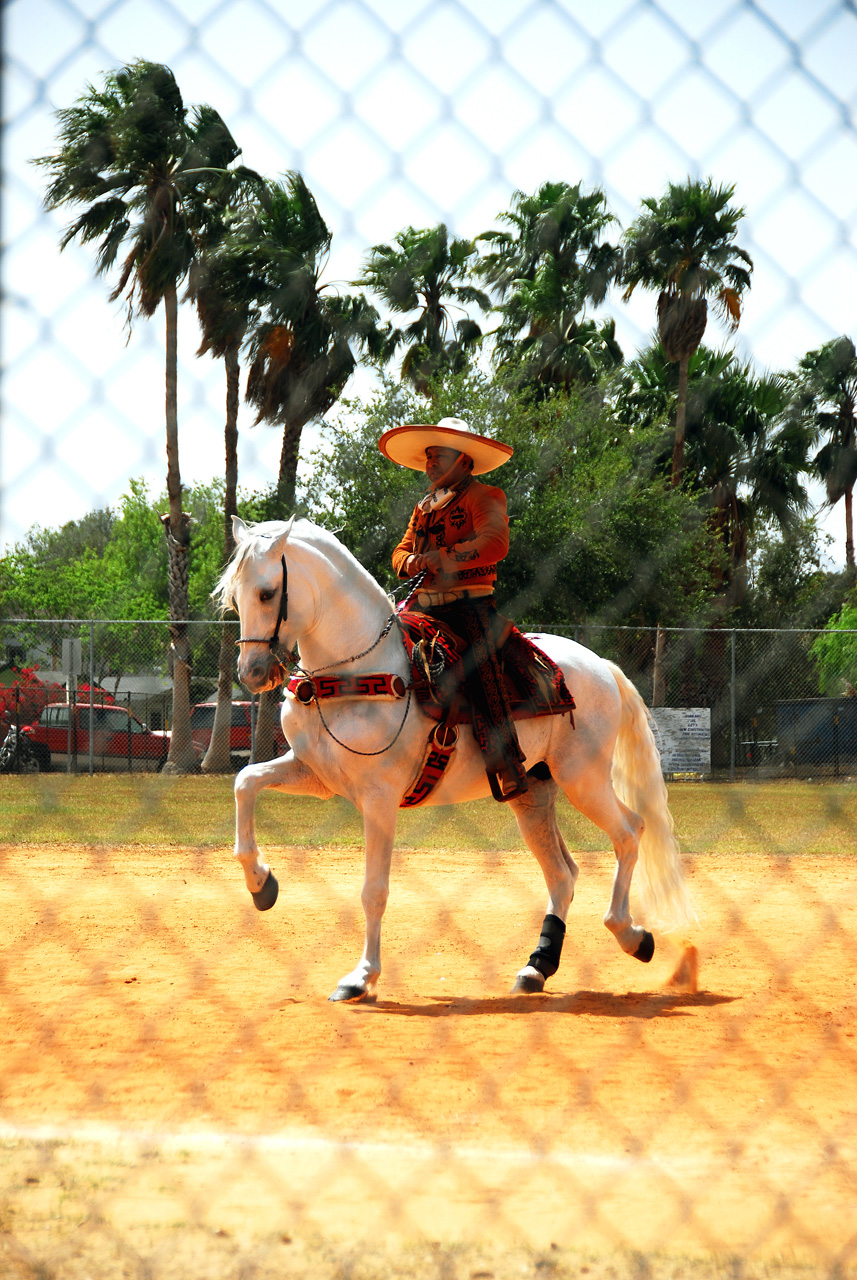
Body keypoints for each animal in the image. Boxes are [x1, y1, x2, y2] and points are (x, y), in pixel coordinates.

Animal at [216, 514, 695, 1003]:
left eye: (267, 593)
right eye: (234, 597)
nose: (251, 673)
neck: (356, 669)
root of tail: (601, 665)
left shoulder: (379, 798)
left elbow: (374, 890)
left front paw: (361, 976)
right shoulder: (315, 774)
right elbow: (245, 781)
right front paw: (261, 883)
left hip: (584, 780)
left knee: (630, 833)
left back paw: (630, 934)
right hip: (533, 796)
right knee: (563, 875)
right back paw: (537, 966)